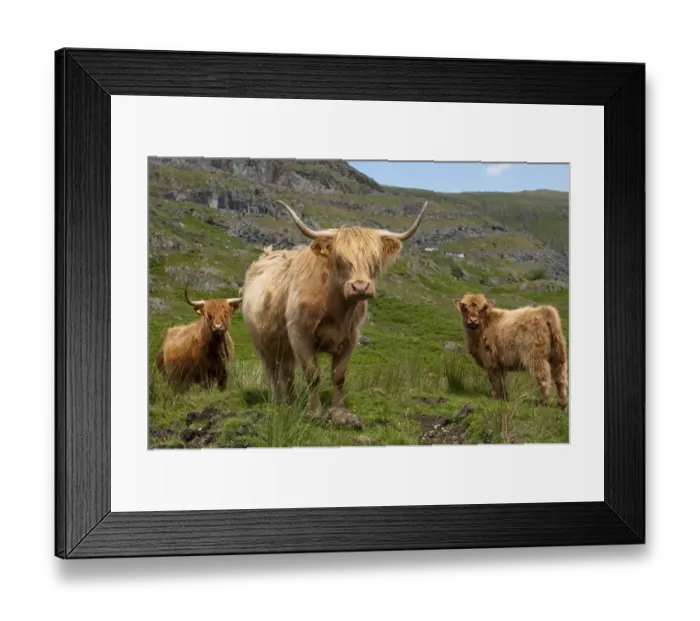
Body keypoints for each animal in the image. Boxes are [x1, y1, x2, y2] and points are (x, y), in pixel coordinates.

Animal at [242, 199, 429, 427]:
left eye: (374, 261)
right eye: (339, 259)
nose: (360, 287)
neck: (337, 309)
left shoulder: (350, 337)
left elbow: (339, 376)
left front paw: (339, 413)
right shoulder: (300, 334)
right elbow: (312, 374)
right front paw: (315, 412)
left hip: (284, 347)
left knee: (287, 373)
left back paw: (291, 403)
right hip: (262, 342)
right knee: (272, 371)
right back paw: (276, 402)